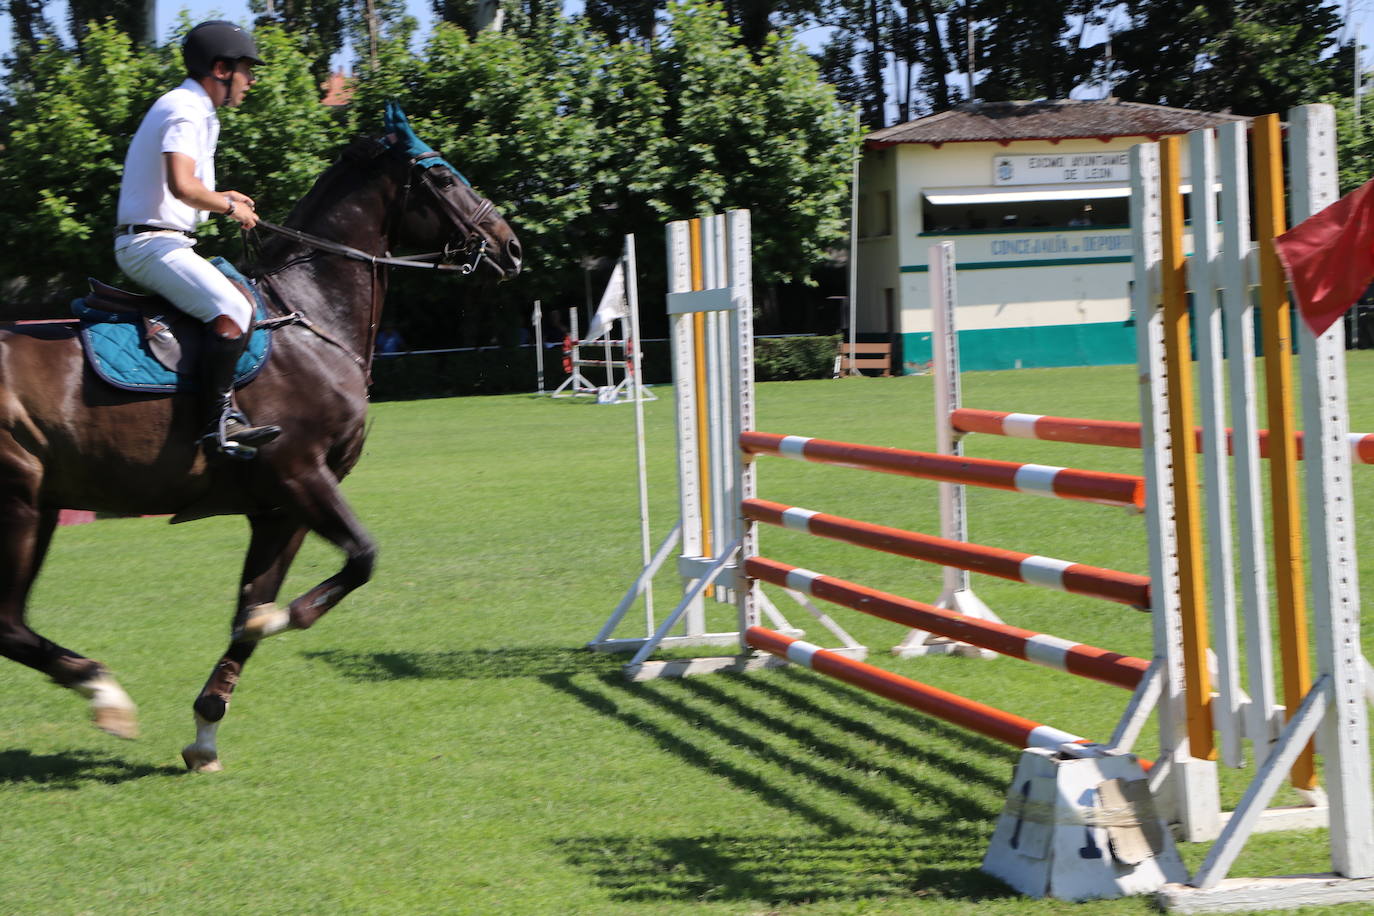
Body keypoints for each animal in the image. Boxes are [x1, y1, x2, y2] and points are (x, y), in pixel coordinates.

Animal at [0, 105, 519, 774]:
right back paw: (106, 694)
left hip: (40, 504)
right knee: (6, 623)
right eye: (444, 176)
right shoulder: (300, 474)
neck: (313, 315)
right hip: (19, 500)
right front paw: (274, 621)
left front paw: (205, 734)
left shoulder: (280, 509)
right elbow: (360, 558)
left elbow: (253, 601)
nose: (511, 246)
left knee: (11, 622)